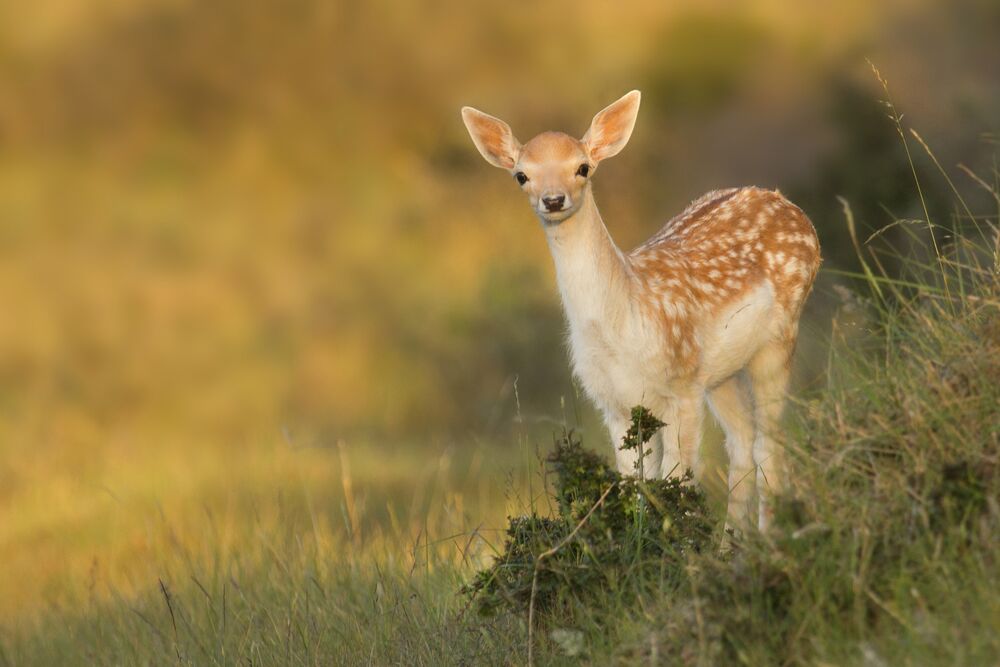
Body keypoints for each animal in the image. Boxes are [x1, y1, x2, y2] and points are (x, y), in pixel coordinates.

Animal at [460, 91, 820, 528]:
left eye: (582, 167)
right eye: (521, 175)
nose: (554, 199)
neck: (622, 320)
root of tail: (789, 206)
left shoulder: (681, 388)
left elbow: (678, 482)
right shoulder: (613, 403)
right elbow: (635, 486)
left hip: (778, 339)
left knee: (769, 443)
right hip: (720, 373)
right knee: (743, 441)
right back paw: (735, 539)